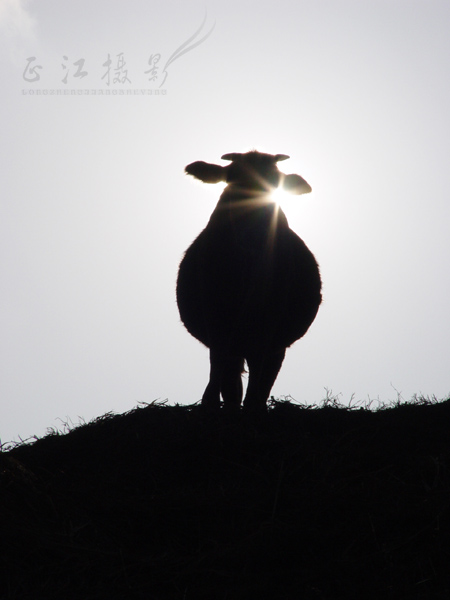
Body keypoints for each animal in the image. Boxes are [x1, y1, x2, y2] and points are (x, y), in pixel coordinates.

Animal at [176, 151, 320, 412]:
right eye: (232, 179)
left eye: (275, 183)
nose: (254, 228)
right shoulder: (216, 314)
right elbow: (219, 364)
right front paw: (210, 402)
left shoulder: (268, 319)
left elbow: (256, 371)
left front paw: (253, 404)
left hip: (277, 341)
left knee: (265, 374)